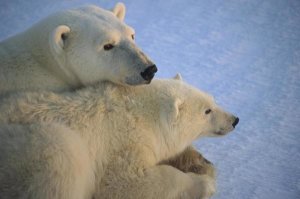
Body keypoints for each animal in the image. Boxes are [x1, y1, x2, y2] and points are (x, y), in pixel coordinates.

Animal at [0, 77, 239, 198]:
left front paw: (200, 162)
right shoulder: (122, 142)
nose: (235, 119)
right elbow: (127, 181)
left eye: (212, 99)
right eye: (207, 111)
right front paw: (205, 184)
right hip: (27, 148)